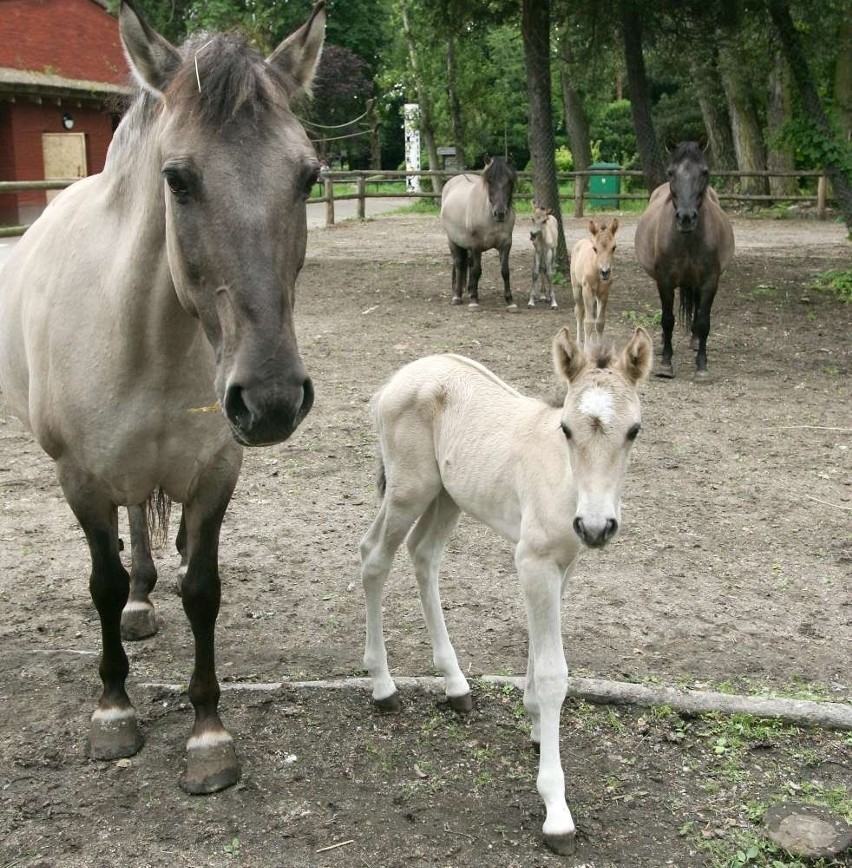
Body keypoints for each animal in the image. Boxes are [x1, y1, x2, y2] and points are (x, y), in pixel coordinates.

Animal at [0, 0, 326, 792]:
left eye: (308, 176)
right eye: (176, 179)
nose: (271, 397)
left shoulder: (215, 475)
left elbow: (203, 589)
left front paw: (209, 732)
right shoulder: (80, 478)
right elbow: (103, 584)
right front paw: (113, 710)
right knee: (125, 551)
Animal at [360, 326, 652, 856]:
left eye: (634, 430)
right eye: (567, 429)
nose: (596, 527)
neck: (564, 480)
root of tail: (398, 377)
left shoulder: (563, 564)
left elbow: (538, 647)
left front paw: (535, 724)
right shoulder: (533, 561)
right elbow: (556, 672)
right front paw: (556, 809)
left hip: (447, 495)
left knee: (423, 555)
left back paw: (456, 685)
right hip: (409, 490)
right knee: (374, 557)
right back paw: (383, 686)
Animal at [440, 158, 520, 310]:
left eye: (509, 180)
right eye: (489, 181)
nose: (500, 213)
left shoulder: (506, 244)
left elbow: (505, 271)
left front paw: (510, 301)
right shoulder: (476, 245)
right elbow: (477, 270)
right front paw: (474, 302)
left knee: (468, 264)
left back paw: (470, 290)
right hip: (452, 240)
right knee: (459, 264)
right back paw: (457, 296)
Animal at [572, 219, 620, 348]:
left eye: (614, 247)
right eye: (595, 248)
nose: (605, 272)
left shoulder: (604, 293)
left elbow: (599, 323)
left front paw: (599, 348)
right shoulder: (587, 291)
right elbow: (588, 322)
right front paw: (586, 350)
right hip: (577, 288)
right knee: (579, 312)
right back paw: (579, 343)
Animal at [636, 141, 736, 378]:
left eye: (705, 172)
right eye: (671, 172)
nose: (686, 217)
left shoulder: (709, 281)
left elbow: (703, 321)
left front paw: (702, 365)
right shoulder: (664, 281)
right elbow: (667, 319)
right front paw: (665, 363)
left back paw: (695, 341)